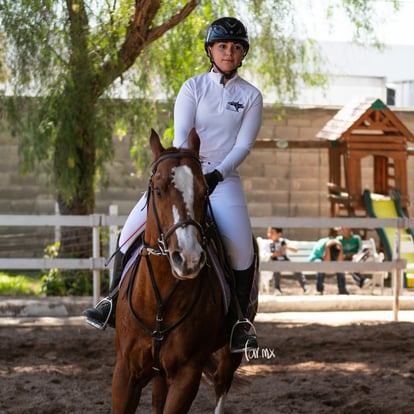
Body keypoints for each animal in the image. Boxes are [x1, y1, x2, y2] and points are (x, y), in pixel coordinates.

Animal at [111, 129, 258, 414]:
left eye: (204, 192)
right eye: (157, 190)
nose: (188, 259)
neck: (158, 300)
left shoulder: (187, 375)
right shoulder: (125, 371)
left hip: (230, 353)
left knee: (221, 385)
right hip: (158, 372)